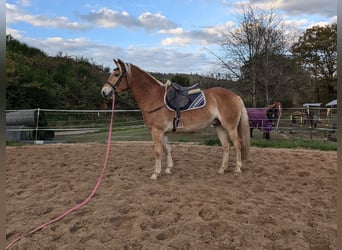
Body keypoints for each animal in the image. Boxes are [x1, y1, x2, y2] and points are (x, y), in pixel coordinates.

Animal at [100, 58, 250, 180]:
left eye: (116, 74)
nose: (104, 92)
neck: (153, 97)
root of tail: (235, 96)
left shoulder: (156, 131)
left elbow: (157, 152)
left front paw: (155, 173)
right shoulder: (164, 132)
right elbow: (167, 149)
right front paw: (168, 169)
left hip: (230, 127)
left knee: (237, 144)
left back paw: (237, 169)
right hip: (219, 126)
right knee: (226, 146)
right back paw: (222, 169)